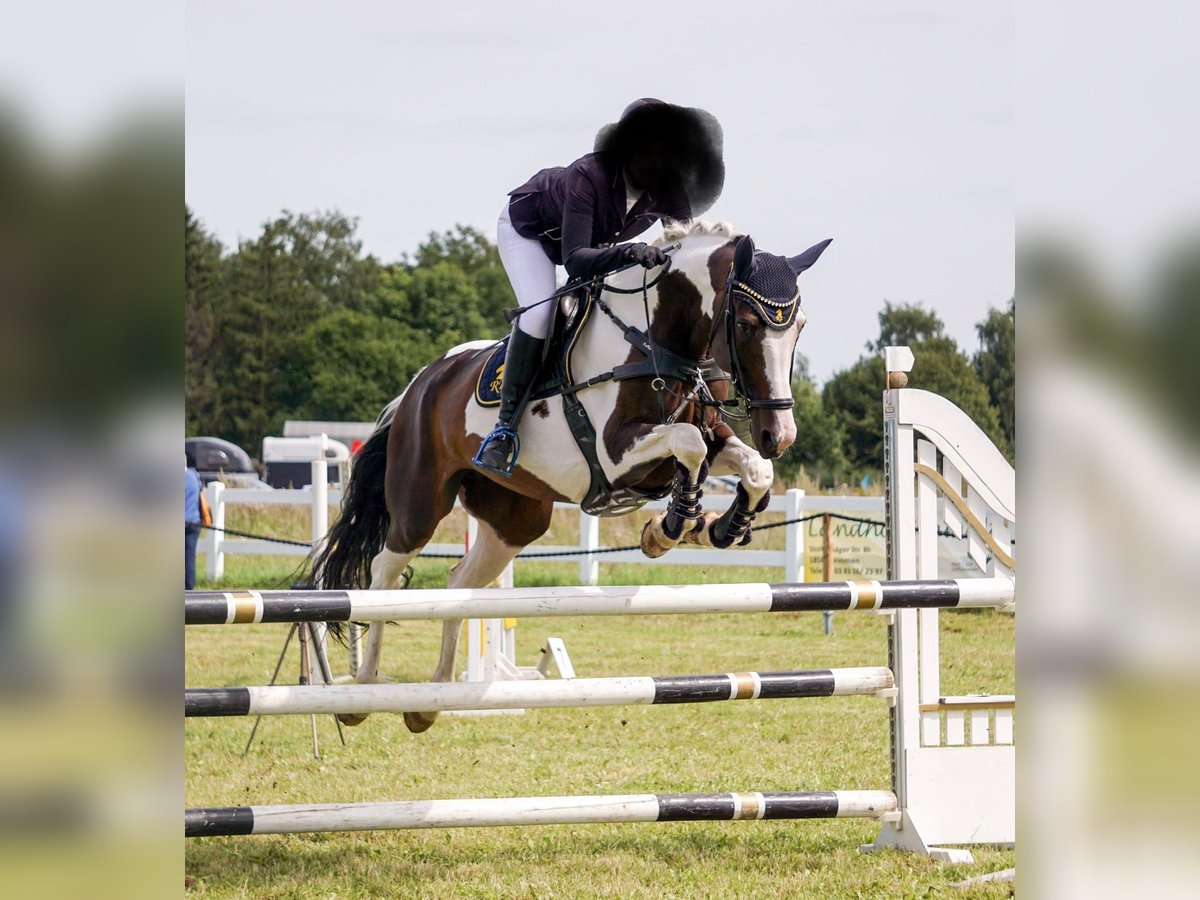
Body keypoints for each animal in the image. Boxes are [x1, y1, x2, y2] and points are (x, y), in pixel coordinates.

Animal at [309, 218, 835, 734]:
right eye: (745, 325)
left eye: (800, 328)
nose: (779, 434)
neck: (654, 339)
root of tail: (419, 385)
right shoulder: (616, 451)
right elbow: (689, 442)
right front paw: (672, 525)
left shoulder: (708, 439)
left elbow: (752, 467)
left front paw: (719, 526)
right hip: (420, 503)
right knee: (384, 573)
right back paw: (363, 693)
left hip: (514, 521)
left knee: (459, 586)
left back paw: (431, 700)